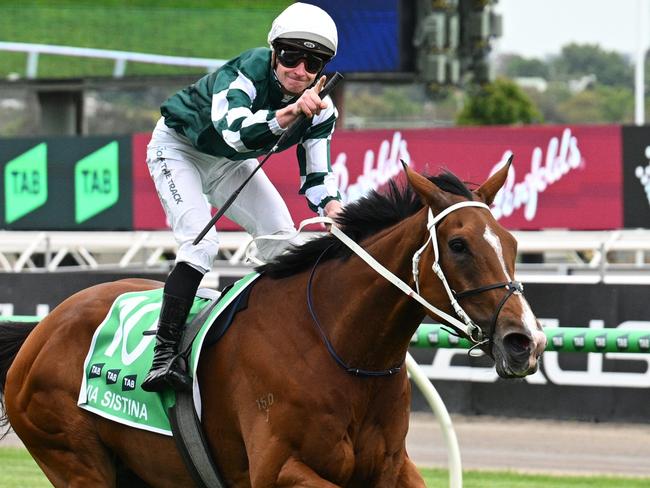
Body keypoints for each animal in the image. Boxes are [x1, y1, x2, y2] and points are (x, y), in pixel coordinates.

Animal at [0, 162, 544, 486]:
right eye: (458, 245)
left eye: (513, 243)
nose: (526, 341)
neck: (340, 349)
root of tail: (40, 331)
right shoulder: (280, 470)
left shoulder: (393, 467)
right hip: (75, 459)